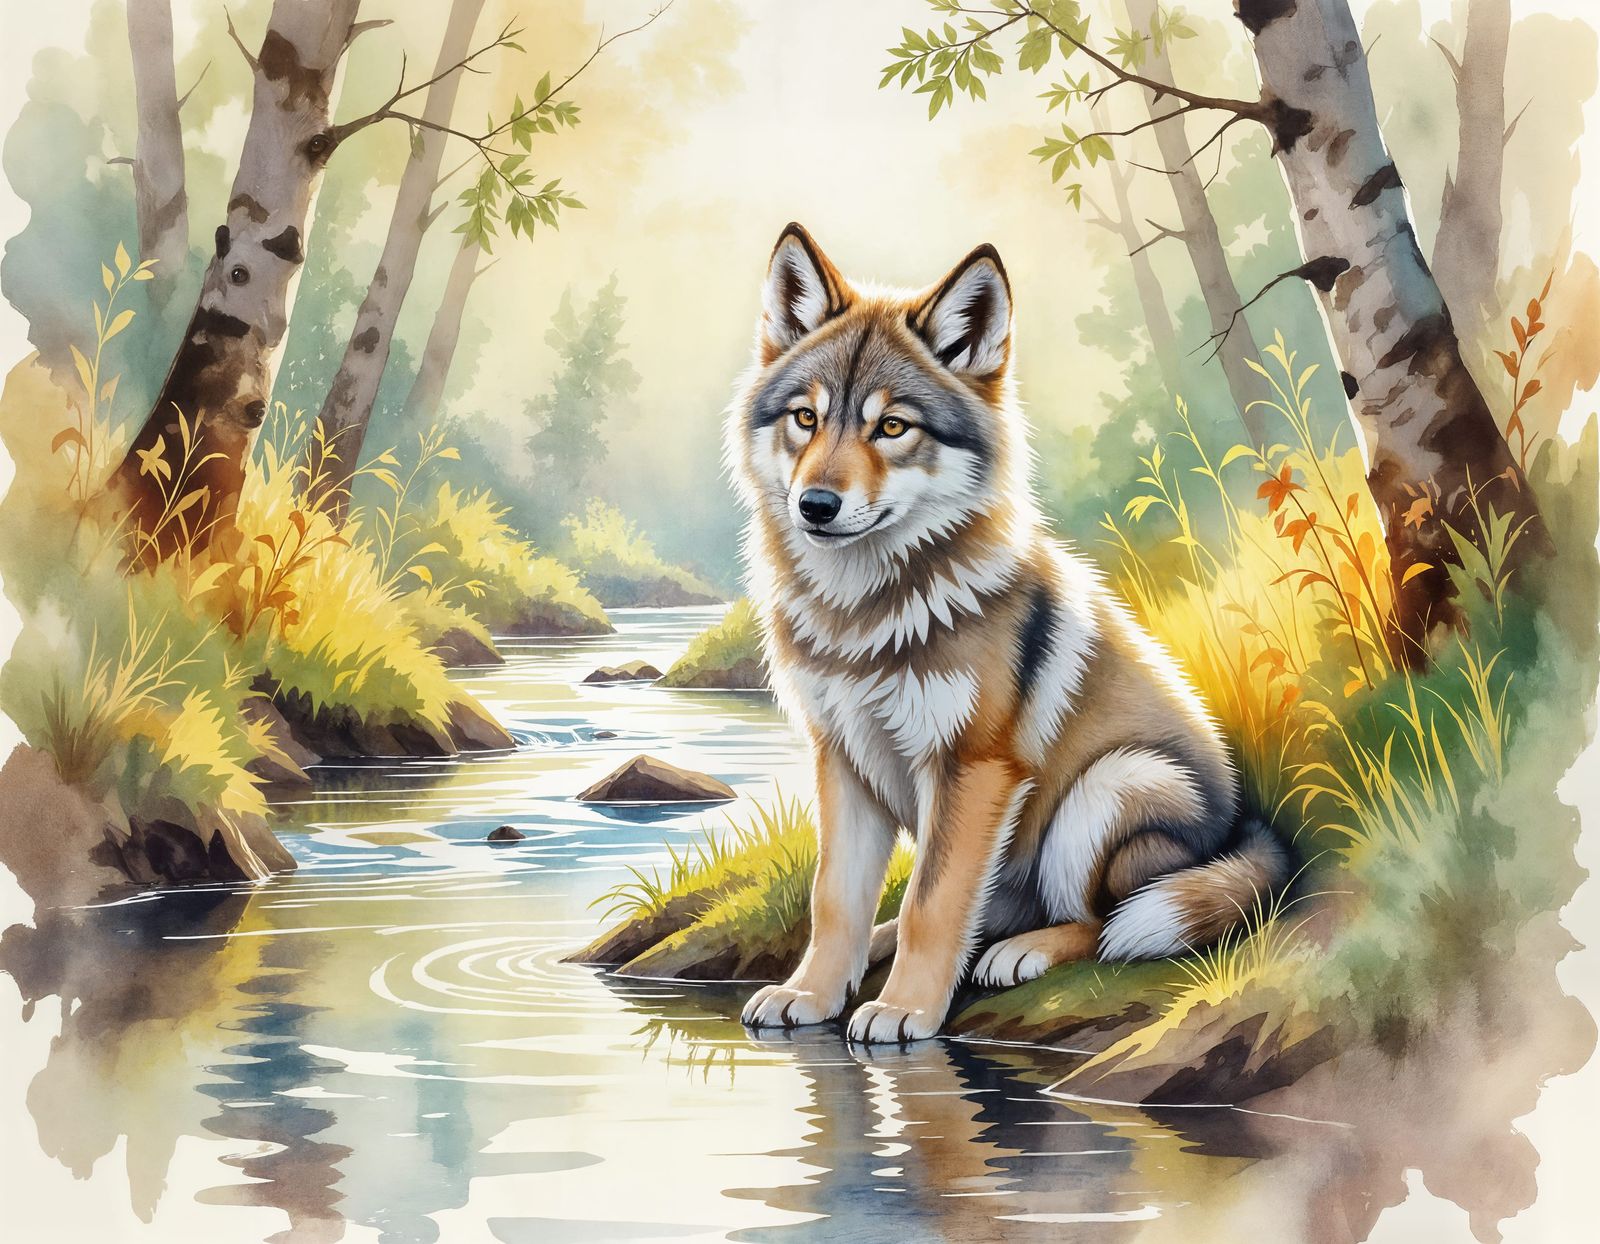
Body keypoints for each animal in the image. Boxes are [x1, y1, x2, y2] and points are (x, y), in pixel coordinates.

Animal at [727, 224, 1291, 1043]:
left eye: (891, 427)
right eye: (807, 418)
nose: (816, 505)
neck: (865, 614)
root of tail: (1246, 827)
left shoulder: (975, 768)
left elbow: (934, 906)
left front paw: (903, 1009)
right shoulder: (843, 760)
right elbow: (836, 900)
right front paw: (813, 991)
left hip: (1109, 786)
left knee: (1103, 922)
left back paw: (1023, 951)